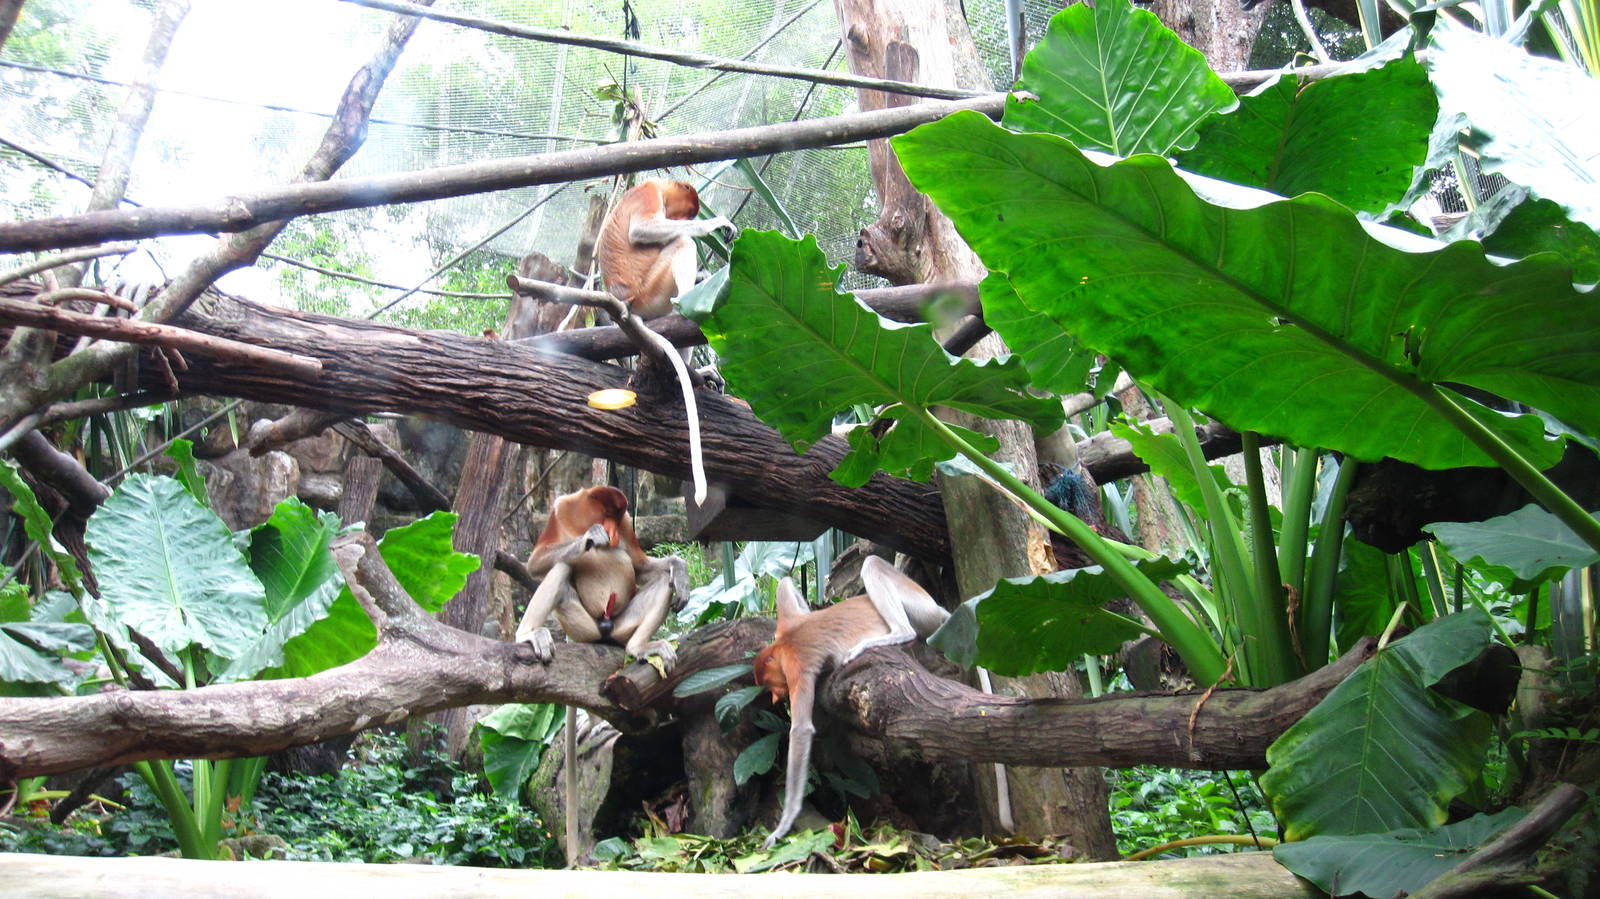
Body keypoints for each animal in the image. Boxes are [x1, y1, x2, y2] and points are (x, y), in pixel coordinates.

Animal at [596, 180, 735, 506]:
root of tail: (627, 305)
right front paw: (717, 224)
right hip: (651, 292)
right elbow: (642, 229)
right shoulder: (648, 193)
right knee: (682, 243)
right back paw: (685, 300)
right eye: (682, 213)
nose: (681, 220)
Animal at [751, 555, 952, 848]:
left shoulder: (797, 666)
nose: (777, 695)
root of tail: (938, 607)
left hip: (922, 609)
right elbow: (786, 583)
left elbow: (801, 730)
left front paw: (783, 825)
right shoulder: (787, 624)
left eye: (773, 683)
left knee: (873, 565)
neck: (782, 645)